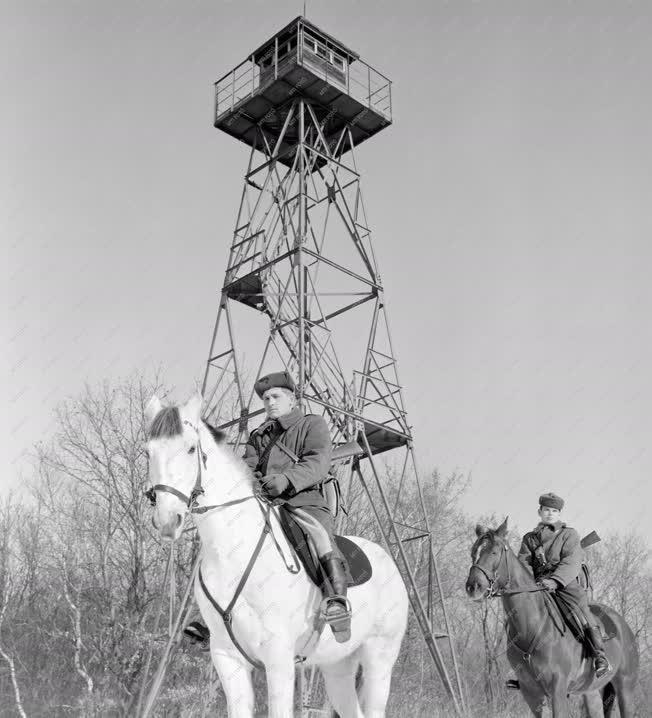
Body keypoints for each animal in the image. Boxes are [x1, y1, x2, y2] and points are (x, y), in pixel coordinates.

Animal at [144, 394, 408, 718]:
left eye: (191, 448)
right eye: (148, 451)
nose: (167, 521)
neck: (232, 552)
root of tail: (387, 559)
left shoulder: (279, 659)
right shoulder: (226, 657)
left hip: (378, 662)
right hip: (337, 667)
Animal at [466, 520, 640, 716]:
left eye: (494, 552)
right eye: (473, 552)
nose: (473, 587)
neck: (532, 627)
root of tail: (622, 625)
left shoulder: (558, 690)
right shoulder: (532, 694)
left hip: (625, 687)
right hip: (591, 692)